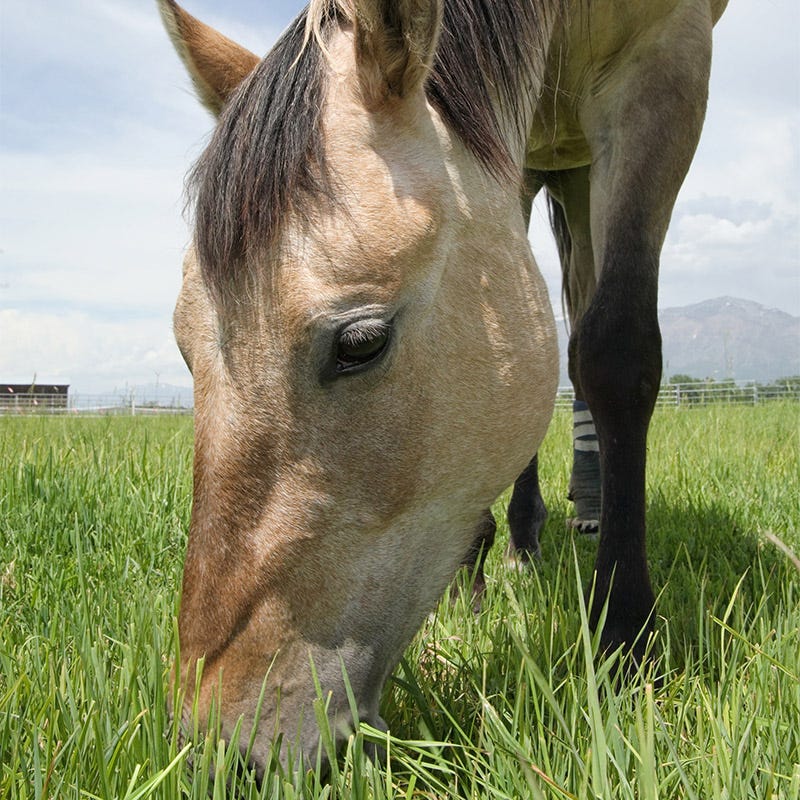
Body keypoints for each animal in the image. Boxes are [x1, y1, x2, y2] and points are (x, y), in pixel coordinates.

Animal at [159, 0, 728, 774]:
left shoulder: (667, 62)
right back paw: (518, 540)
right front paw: (475, 575)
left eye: (361, 344)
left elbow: (614, 349)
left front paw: (625, 638)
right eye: (185, 349)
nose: (216, 749)